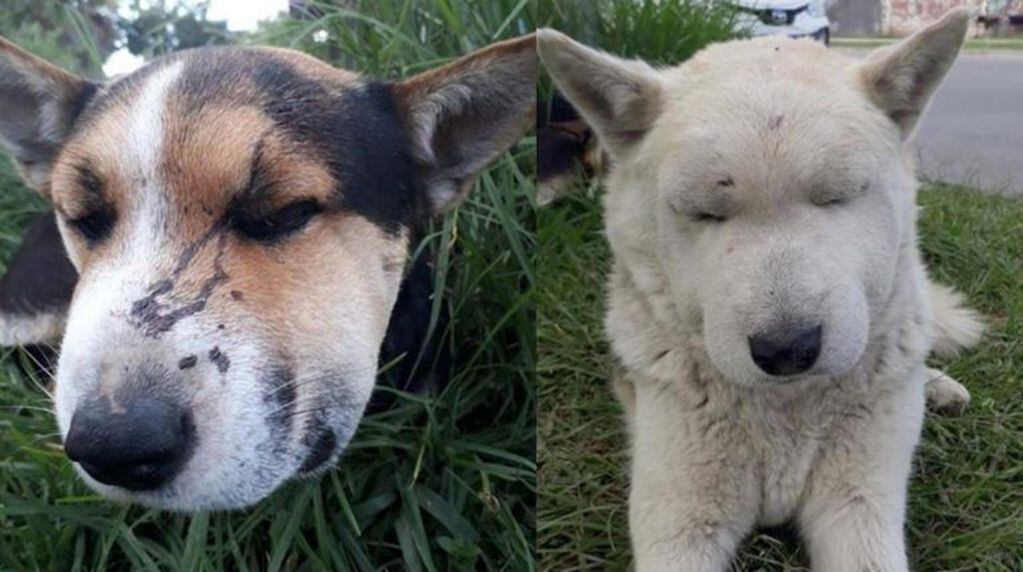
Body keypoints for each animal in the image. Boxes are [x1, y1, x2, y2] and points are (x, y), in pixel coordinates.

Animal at [544, 7, 982, 568]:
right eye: (704, 214)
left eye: (837, 197)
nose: (788, 350)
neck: (786, 411)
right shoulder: (678, 523)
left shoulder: (858, 506)